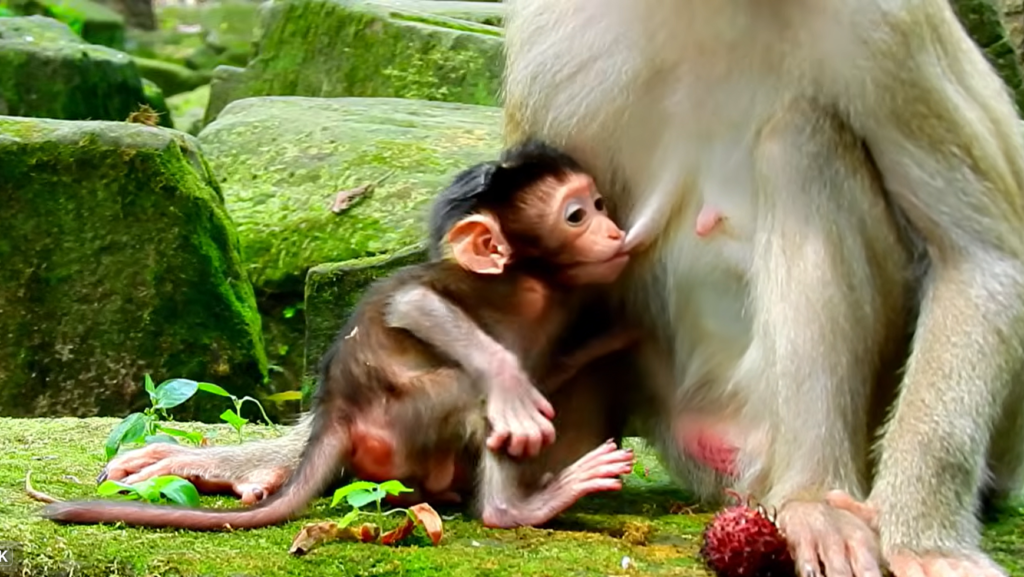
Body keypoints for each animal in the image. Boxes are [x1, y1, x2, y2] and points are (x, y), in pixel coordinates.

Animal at [40, 140, 639, 531]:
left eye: (600, 205)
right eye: (577, 215)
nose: (614, 232)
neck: (541, 283)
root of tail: (338, 413)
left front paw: (616, 336)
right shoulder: (496, 289)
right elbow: (413, 304)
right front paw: (509, 384)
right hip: (403, 420)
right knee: (469, 396)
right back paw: (515, 508)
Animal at [501, 2, 1024, 577]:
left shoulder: (889, 25)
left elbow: (978, 257)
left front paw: (926, 543)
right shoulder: (554, 36)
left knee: (801, 140)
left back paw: (814, 499)